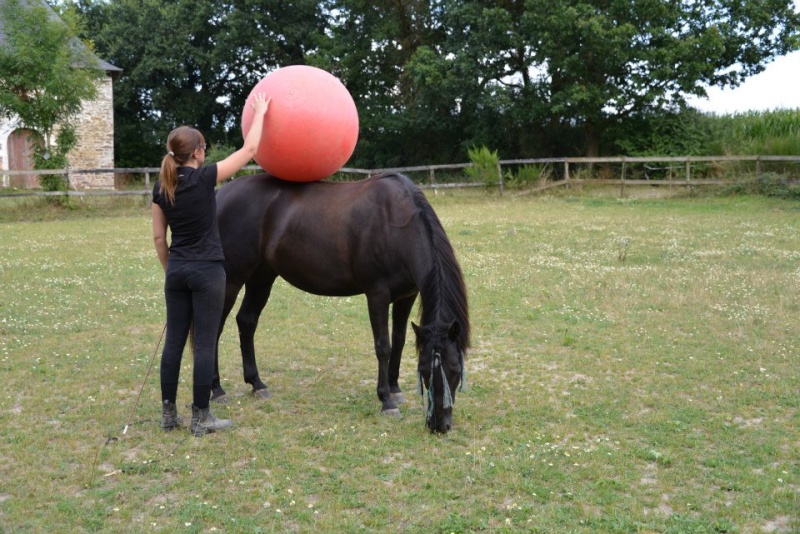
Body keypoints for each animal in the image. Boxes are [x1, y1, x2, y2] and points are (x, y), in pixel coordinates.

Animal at [211, 174, 468, 434]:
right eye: (424, 371)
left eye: (456, 371)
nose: (439, 425)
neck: (396, 224)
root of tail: (221, 194)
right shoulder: (377, 294)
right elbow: (383, 346)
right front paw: (386, 401)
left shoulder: (407, 295)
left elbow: (399, 341)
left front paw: (395, 389)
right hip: (232, 278)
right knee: (214, 329)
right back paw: (217, 389)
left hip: (262, 276)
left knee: (246, 321)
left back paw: (257, 383)